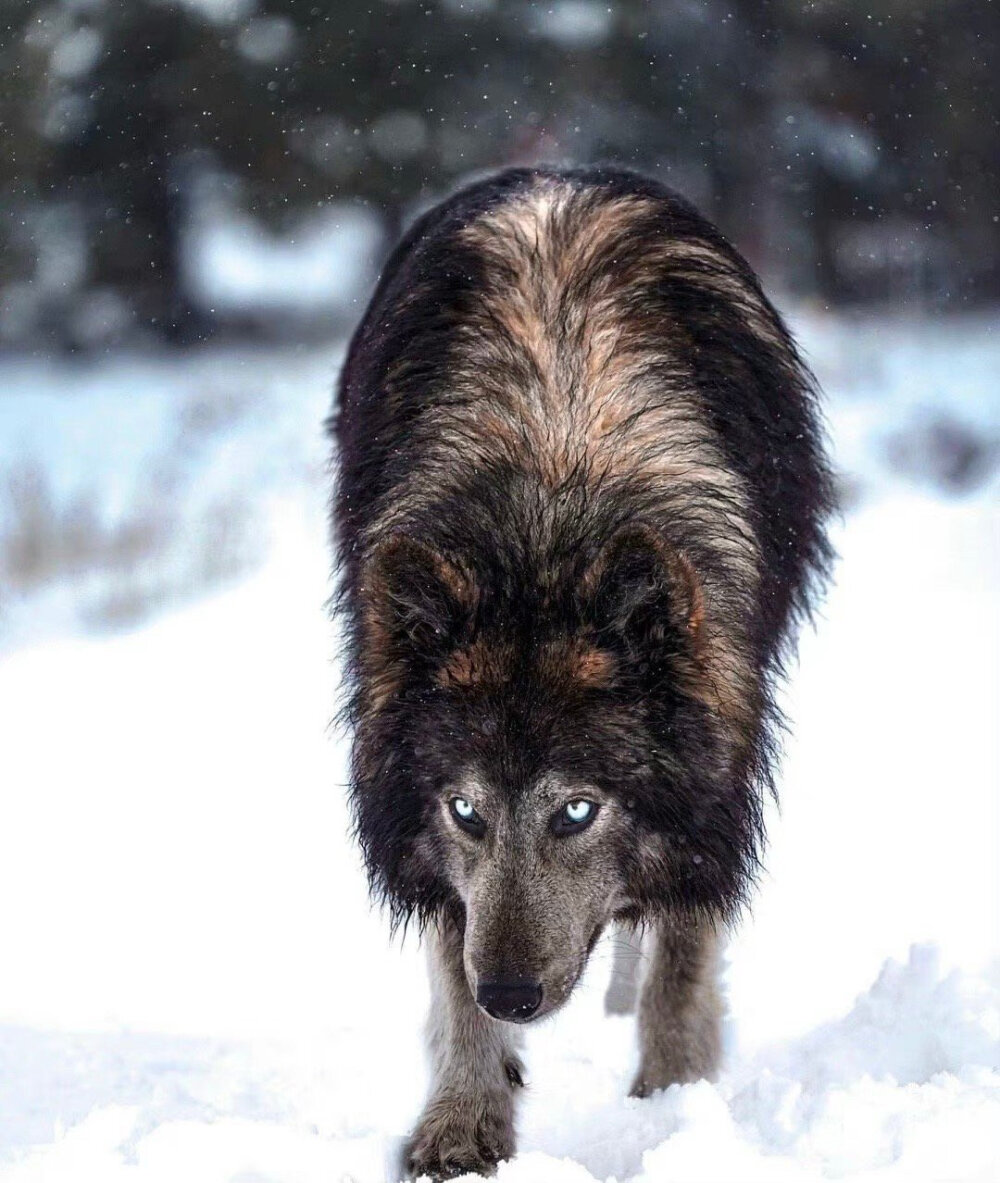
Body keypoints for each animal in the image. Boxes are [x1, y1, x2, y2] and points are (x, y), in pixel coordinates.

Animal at [328, 169, 833, 1183]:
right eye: (466, 810)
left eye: (575, 811)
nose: (511, 994)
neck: (549, 500)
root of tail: (561, 174)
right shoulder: (425, 832)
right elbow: (450, 971)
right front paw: (463, 1124)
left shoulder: (715, 788)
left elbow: (680, 967)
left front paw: (673, 1112)